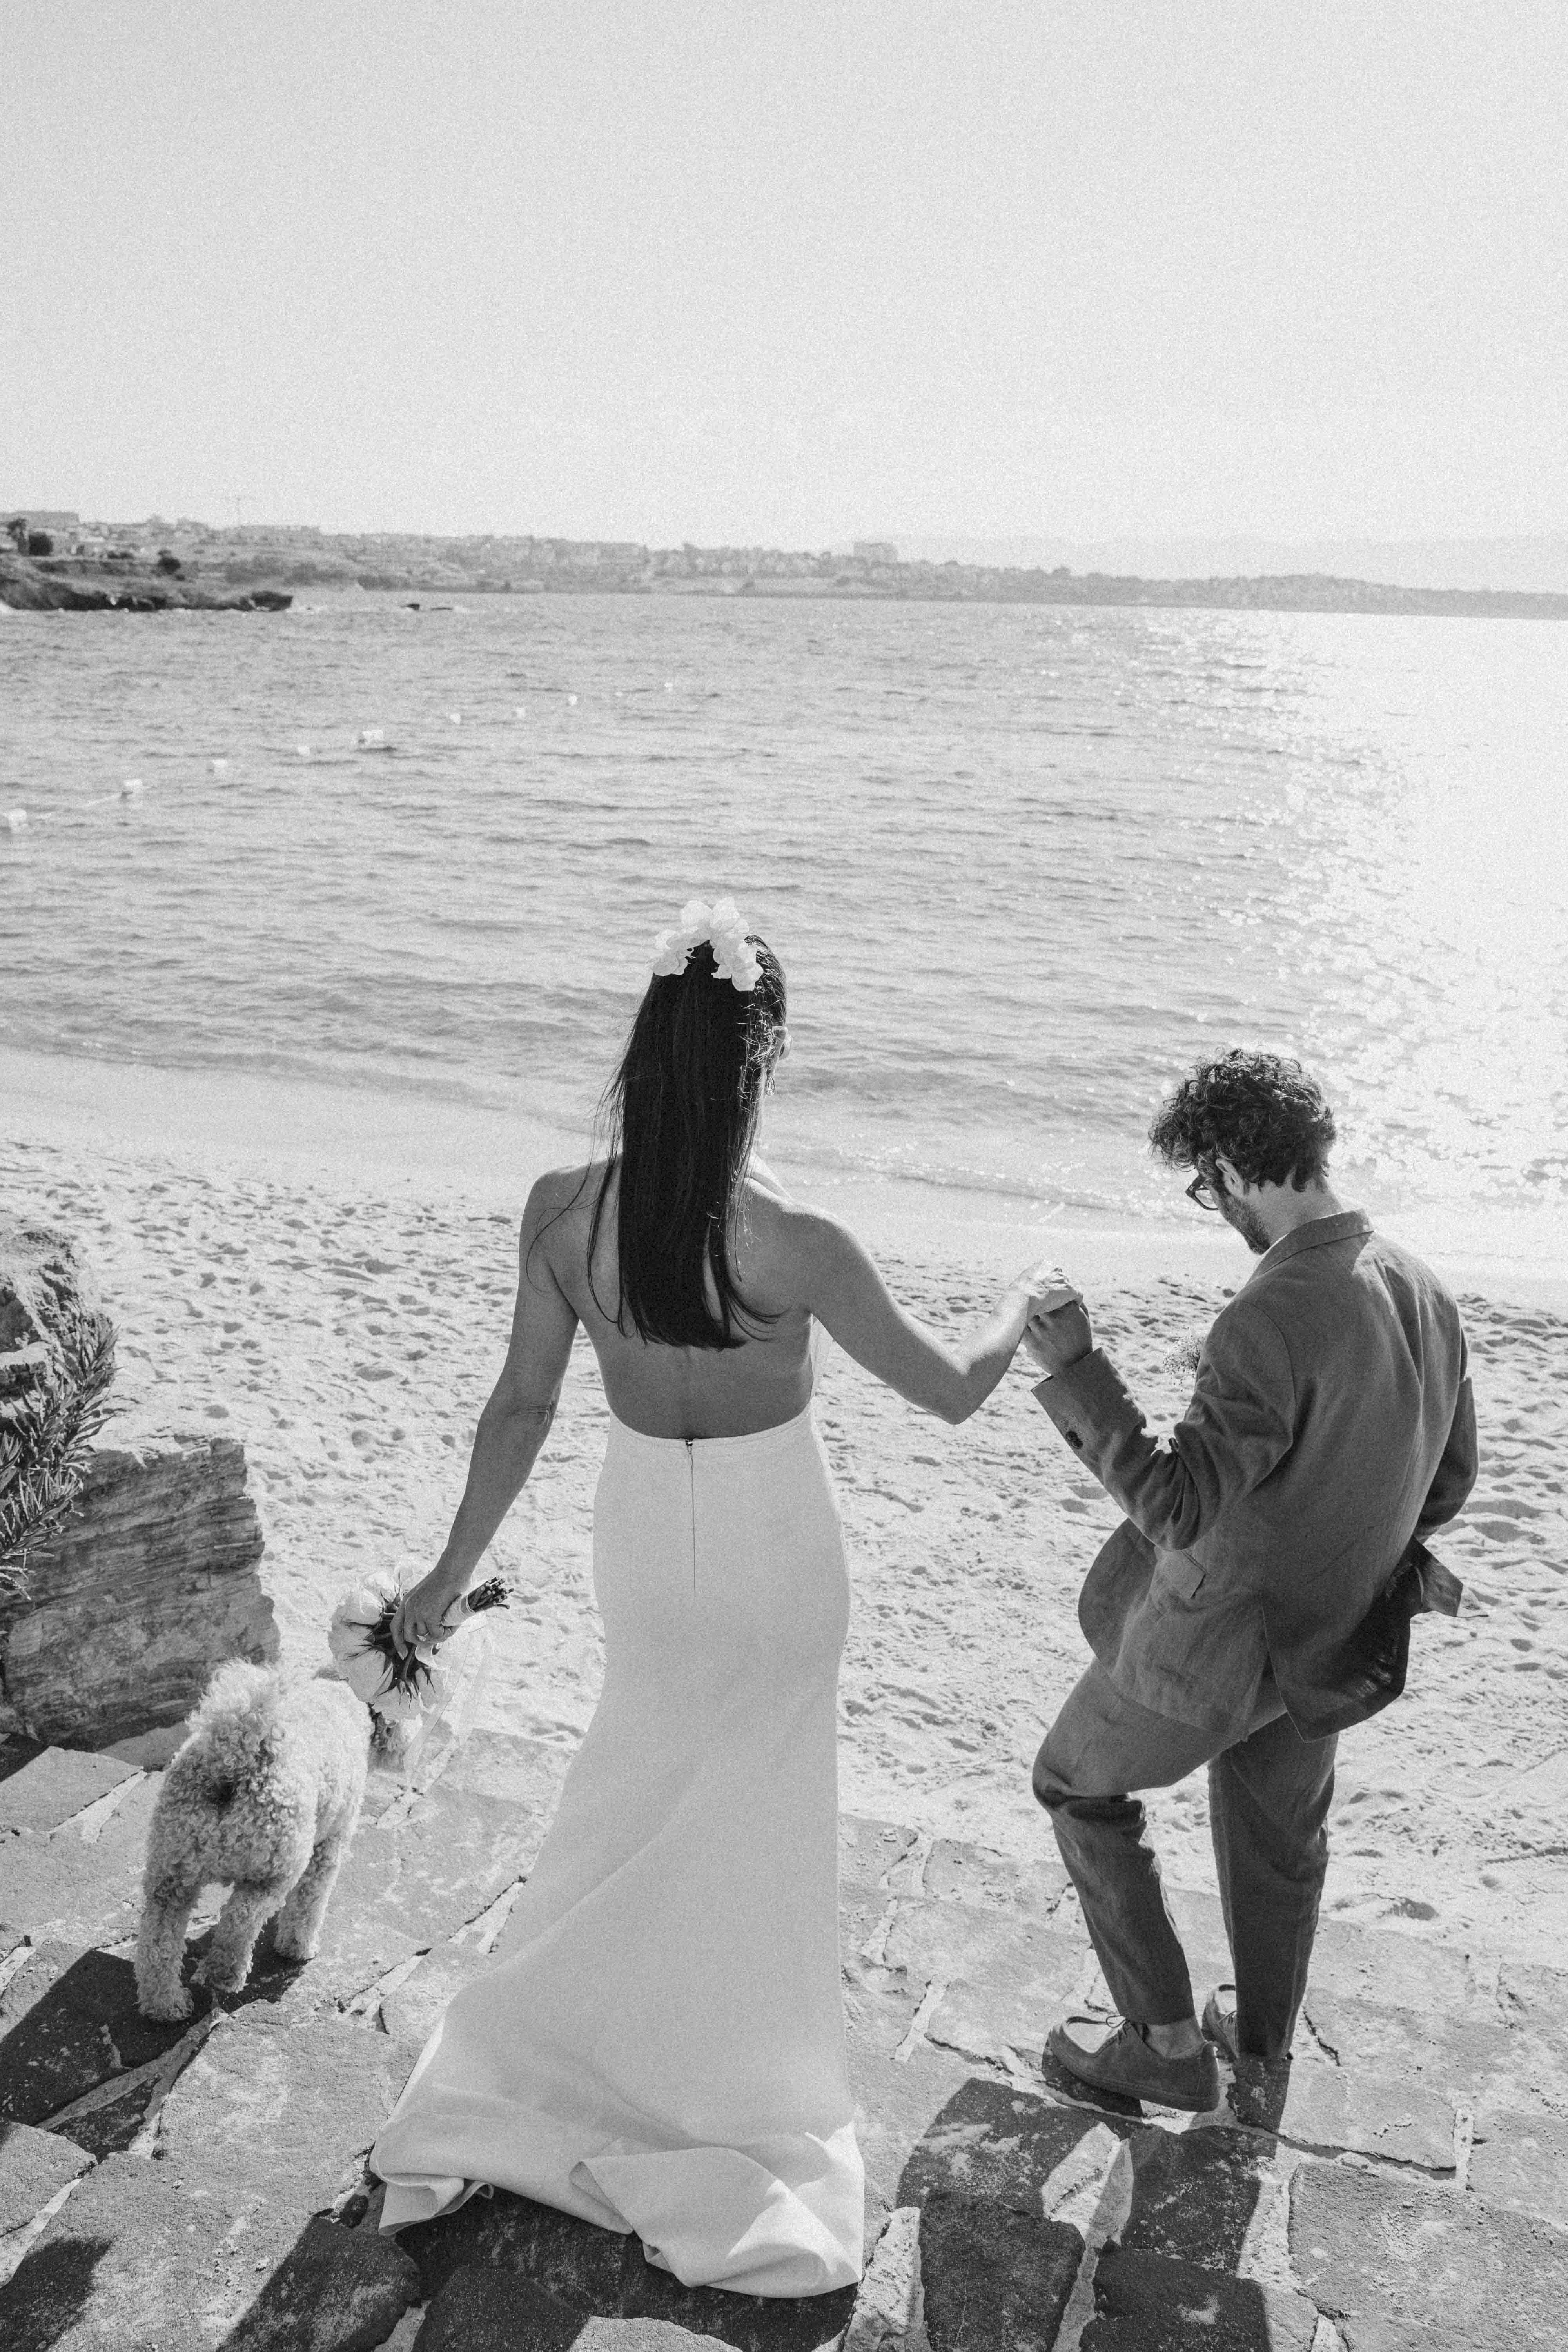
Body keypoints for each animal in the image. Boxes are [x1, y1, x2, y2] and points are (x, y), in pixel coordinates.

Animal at [135, 1660, 370, 2021]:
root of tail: (234, 1758)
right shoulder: (328, 1849)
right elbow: (309, 1905)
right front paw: (298, 1948)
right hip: (274, 1869)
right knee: (240, 1920)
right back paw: (225, 1974)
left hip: (171, 1870)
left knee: (158, 1939)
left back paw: (165, 2004)